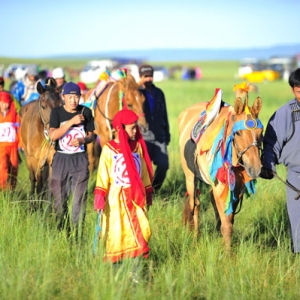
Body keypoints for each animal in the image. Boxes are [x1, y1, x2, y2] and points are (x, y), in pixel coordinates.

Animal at [19, 77, 61, 209]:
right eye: (43, 106)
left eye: (61, 104)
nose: (54, 131)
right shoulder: (36, 160)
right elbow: (39, 184)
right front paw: (37, 209)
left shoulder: (51, 159)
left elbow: (50, 185)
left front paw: (48, 209)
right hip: (29, 158)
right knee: (33, 179)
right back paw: (32, 204)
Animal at [178, 82, 262, 248]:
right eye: (238, 133)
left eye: (261, 131)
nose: (255, 168)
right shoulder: (220, 186)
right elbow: (227, 225)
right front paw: (228, 253)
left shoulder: (237, 189)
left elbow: (229, 220)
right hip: (190, 176)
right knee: (194, 204)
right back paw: (195, 237)